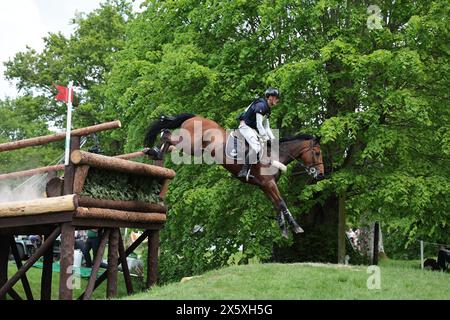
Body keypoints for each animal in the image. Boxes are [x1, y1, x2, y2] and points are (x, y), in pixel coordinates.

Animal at [144, 112, 324, 238]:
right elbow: (282, 203)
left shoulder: (265, 186)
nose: (321, 175)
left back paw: (156, 152)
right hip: (190, 145)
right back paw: (156, 151)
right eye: (317, 153)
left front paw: (284, 230)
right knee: (167, 134)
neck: (275, 155)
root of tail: (195, 117)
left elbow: (277, 205)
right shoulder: (268, 184)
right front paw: (296, 227)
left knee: (167, 135)